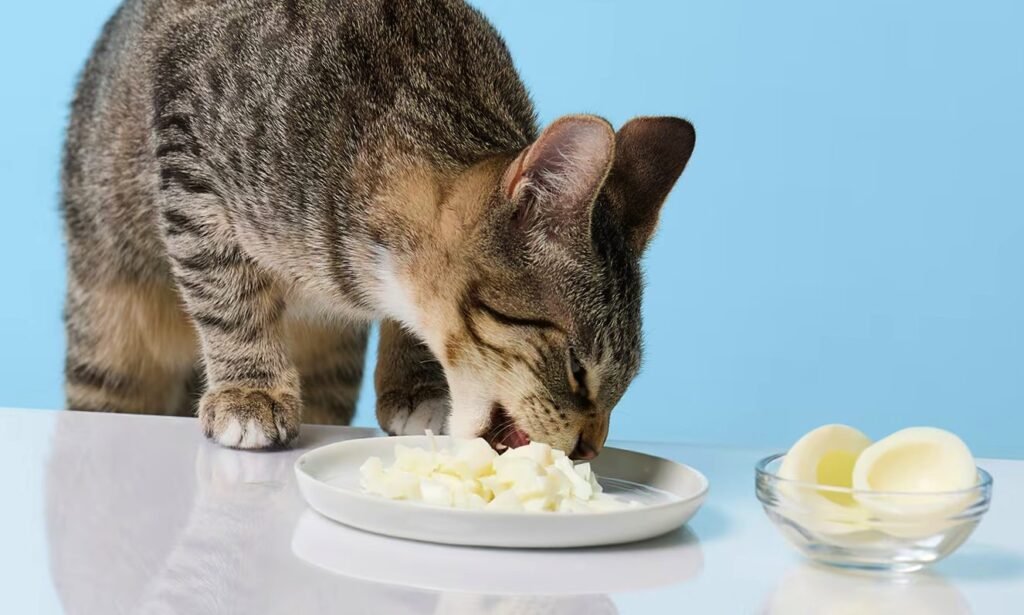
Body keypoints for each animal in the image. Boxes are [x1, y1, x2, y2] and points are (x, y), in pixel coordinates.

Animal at [61, 0, 696, 450]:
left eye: (626, 382)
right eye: (576, 369)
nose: (590, 449)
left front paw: (416, 387)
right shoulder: (186, 138)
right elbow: (224, 290)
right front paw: (249, 389)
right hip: (110, 330)